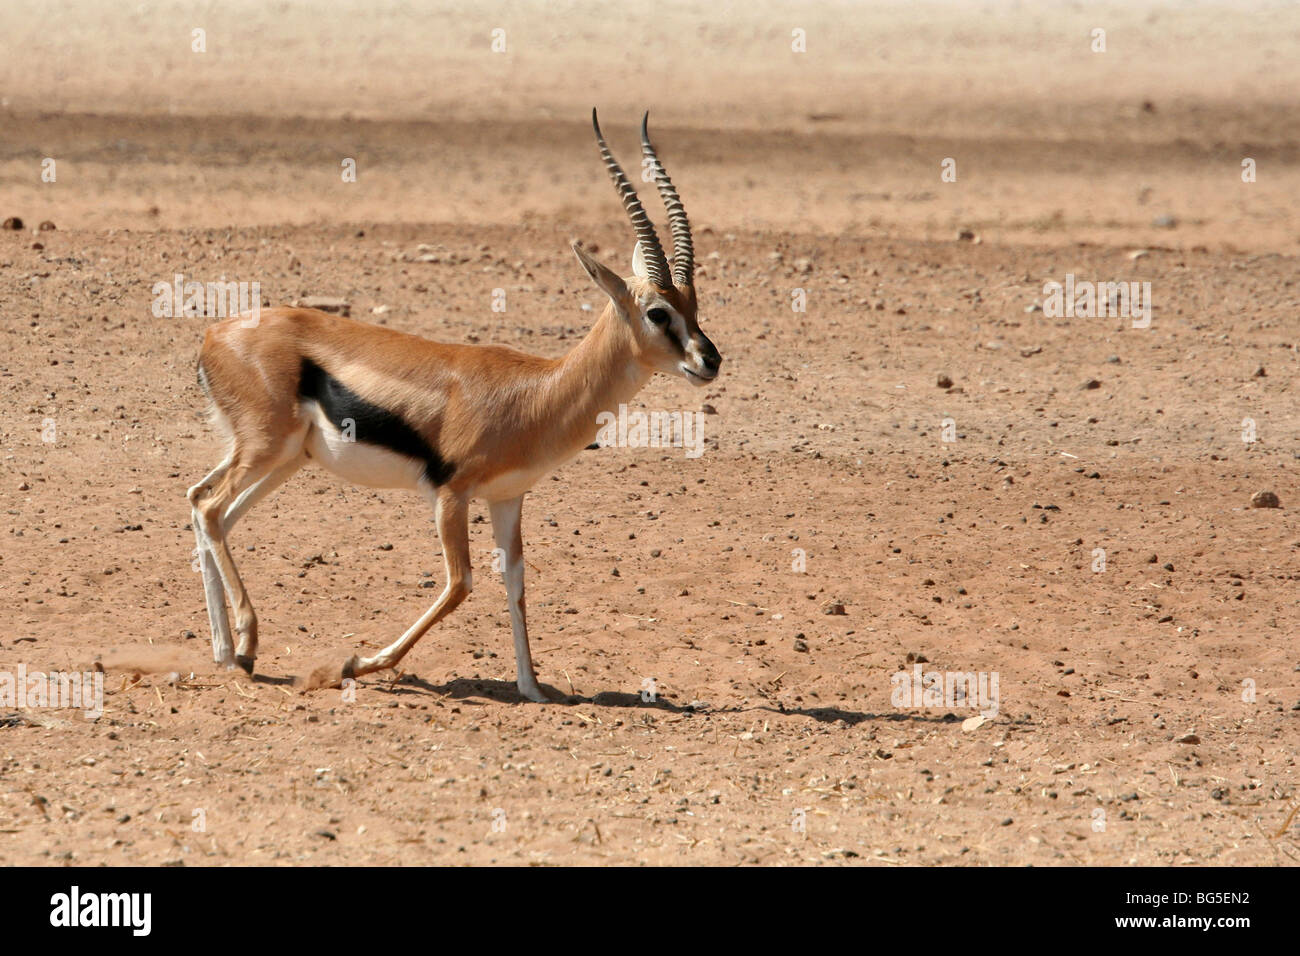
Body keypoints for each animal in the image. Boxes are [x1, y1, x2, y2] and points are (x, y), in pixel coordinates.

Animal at [187, 110, 721, 702]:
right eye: (656, 313)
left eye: (694, 305)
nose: (710, 360)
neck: (536, 392)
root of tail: (215, 334)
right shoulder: (451, 493)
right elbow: (459, 584)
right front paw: (355, 662)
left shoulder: (507, 498)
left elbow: (515, 581)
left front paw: (533, 689)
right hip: (267, 448)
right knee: (209, 507)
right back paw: (243, 649)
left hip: (285, 458)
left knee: (207, 508)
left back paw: (228, 652)